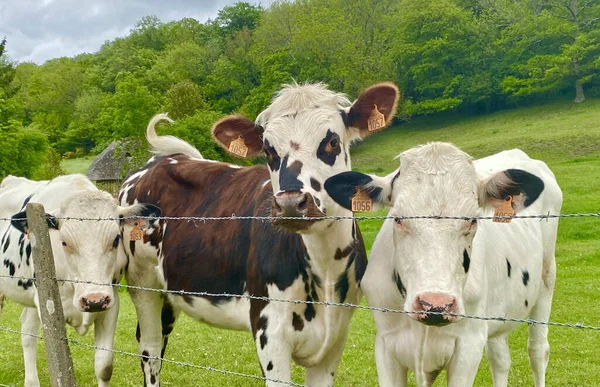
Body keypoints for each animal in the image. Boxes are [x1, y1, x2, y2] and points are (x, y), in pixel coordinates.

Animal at [0, 174, 159, 386]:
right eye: (64, 242)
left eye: (116, 239)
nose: (94, 300)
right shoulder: (48, 306)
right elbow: (61, 366)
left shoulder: (111, 304)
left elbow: (104, 366)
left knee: (28, 330)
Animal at [117, 82, 398, 387]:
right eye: (268, 150)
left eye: (332, 142)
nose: (290, 203)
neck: (325, 270)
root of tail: (160, 161)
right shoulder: (269, 331)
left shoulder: (335, 337)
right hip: (143, 284)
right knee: (151, 349)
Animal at [324, 144, 564, 386]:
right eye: (397, 218)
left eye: (473, 220)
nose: (435, 304)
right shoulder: (385, 343)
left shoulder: (469, 345)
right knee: (500, 358)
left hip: (546, 281)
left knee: (538, 351)